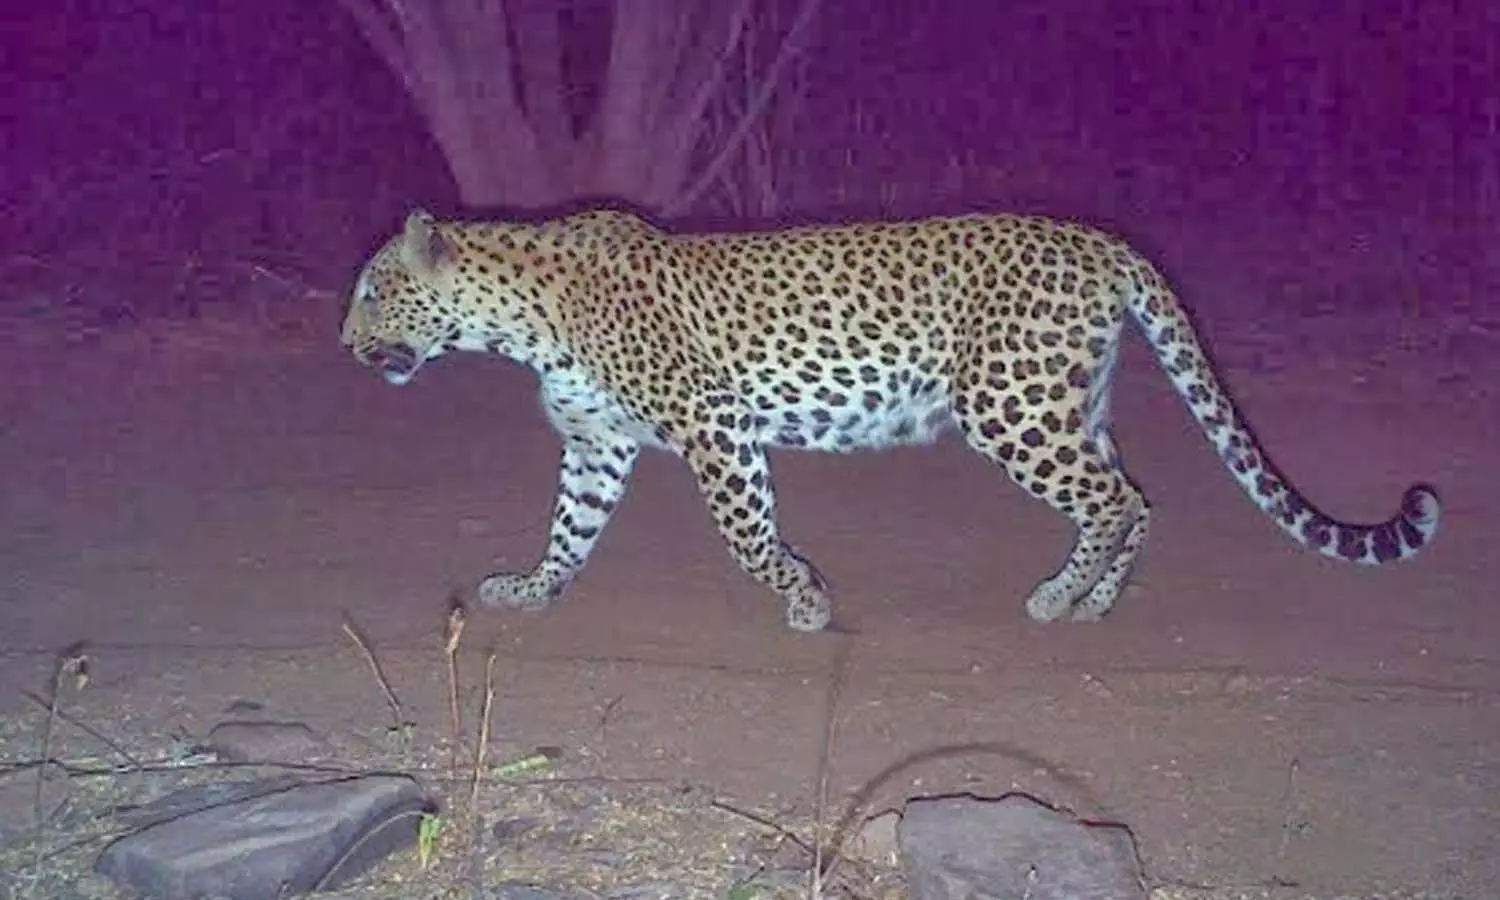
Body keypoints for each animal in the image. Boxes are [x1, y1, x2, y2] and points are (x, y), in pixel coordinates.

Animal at [340, 206, 1441, 632]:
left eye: (370, 292)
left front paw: (806, 600)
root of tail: (1102, 241)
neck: (514, 319)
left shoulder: (714, 425)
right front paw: (531, 589)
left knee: (1113, 498)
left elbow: (749, 536)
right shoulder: (598, 445)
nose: (344, 346)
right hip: (1066, 402)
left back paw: (1057, 599)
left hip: (1009, 406)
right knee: (1137, 491)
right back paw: (1095, 602)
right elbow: (570, 529)